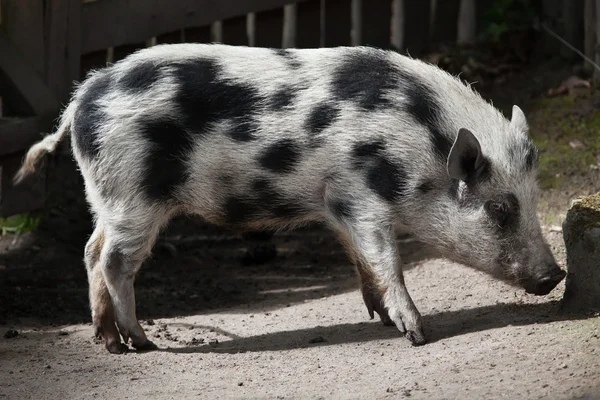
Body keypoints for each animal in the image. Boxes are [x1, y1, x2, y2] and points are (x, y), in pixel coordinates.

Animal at [15, 43, 568, 354]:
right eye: (499, 208)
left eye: (533, 196)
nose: (555, 275)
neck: (421, 146)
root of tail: (80, 101)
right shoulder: (361, 193)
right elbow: (386, 257)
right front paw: (416, 333)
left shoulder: (336, 200)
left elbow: (360, 257)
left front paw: (377, 316)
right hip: (135, 195)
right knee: (114, 259)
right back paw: (141, 343)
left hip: (106, 194)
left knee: (89, 251)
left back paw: (107, 343)